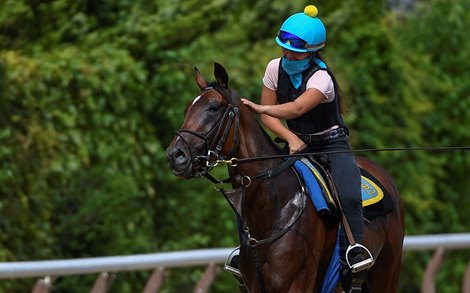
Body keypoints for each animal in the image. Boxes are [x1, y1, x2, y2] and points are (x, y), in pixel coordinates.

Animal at [165, 62, 404, 290]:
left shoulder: (296, 285)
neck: (275, 205)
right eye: (187, 109)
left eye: (213, 108)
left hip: (387, 274)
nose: (175, 155)